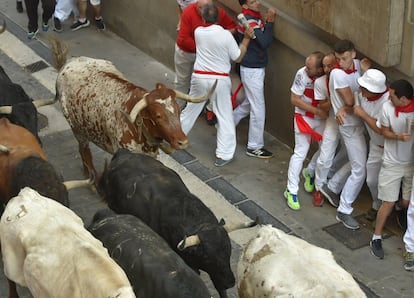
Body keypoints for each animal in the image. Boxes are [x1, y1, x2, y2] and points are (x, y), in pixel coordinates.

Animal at [54, 55, 215, 178]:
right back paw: (91, 177)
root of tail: (71, 61)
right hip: (77, 129)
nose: (183, 142)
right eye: (157, 116)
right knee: (84, 150)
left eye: (178, 111)